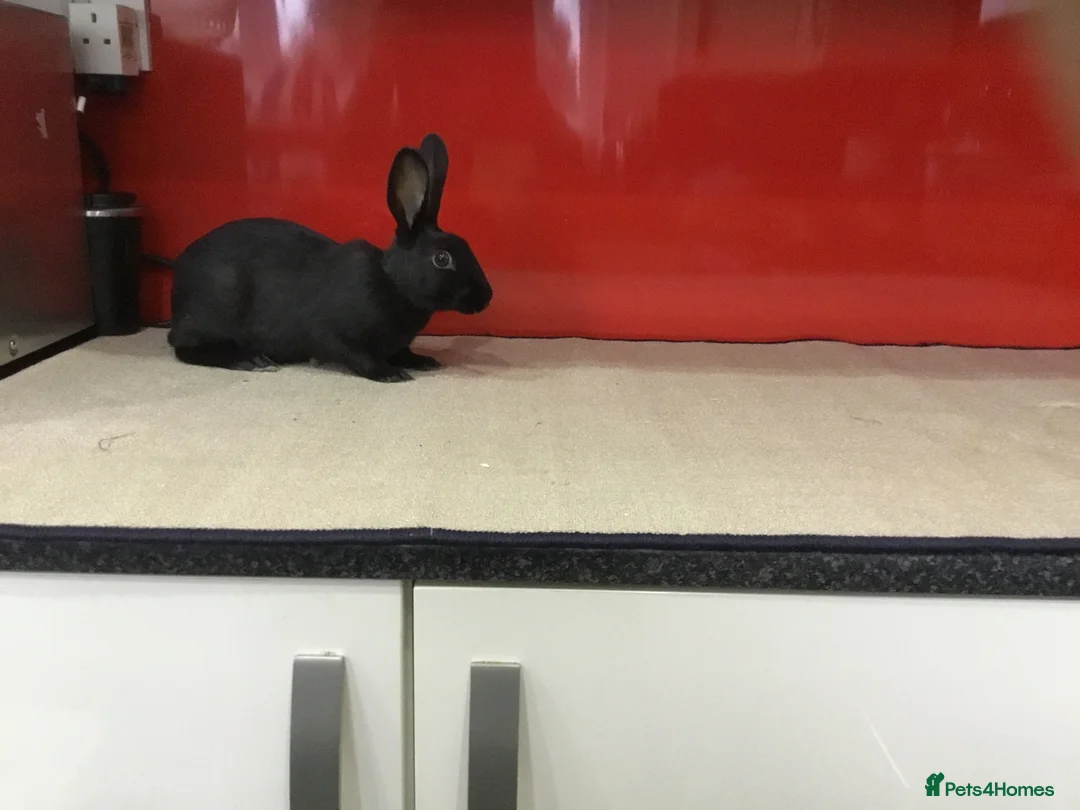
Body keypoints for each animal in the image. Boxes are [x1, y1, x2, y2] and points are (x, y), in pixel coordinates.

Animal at [166, 133, 492, 382]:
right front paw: (390, 373)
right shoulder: (334, 334)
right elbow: (357, 355)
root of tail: (179, 267)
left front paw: (424, 360)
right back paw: (251, 360)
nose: (487, 296)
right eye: (442, 259)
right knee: (182, 345)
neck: (394, 283)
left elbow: (403, 352)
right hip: (217, 304)